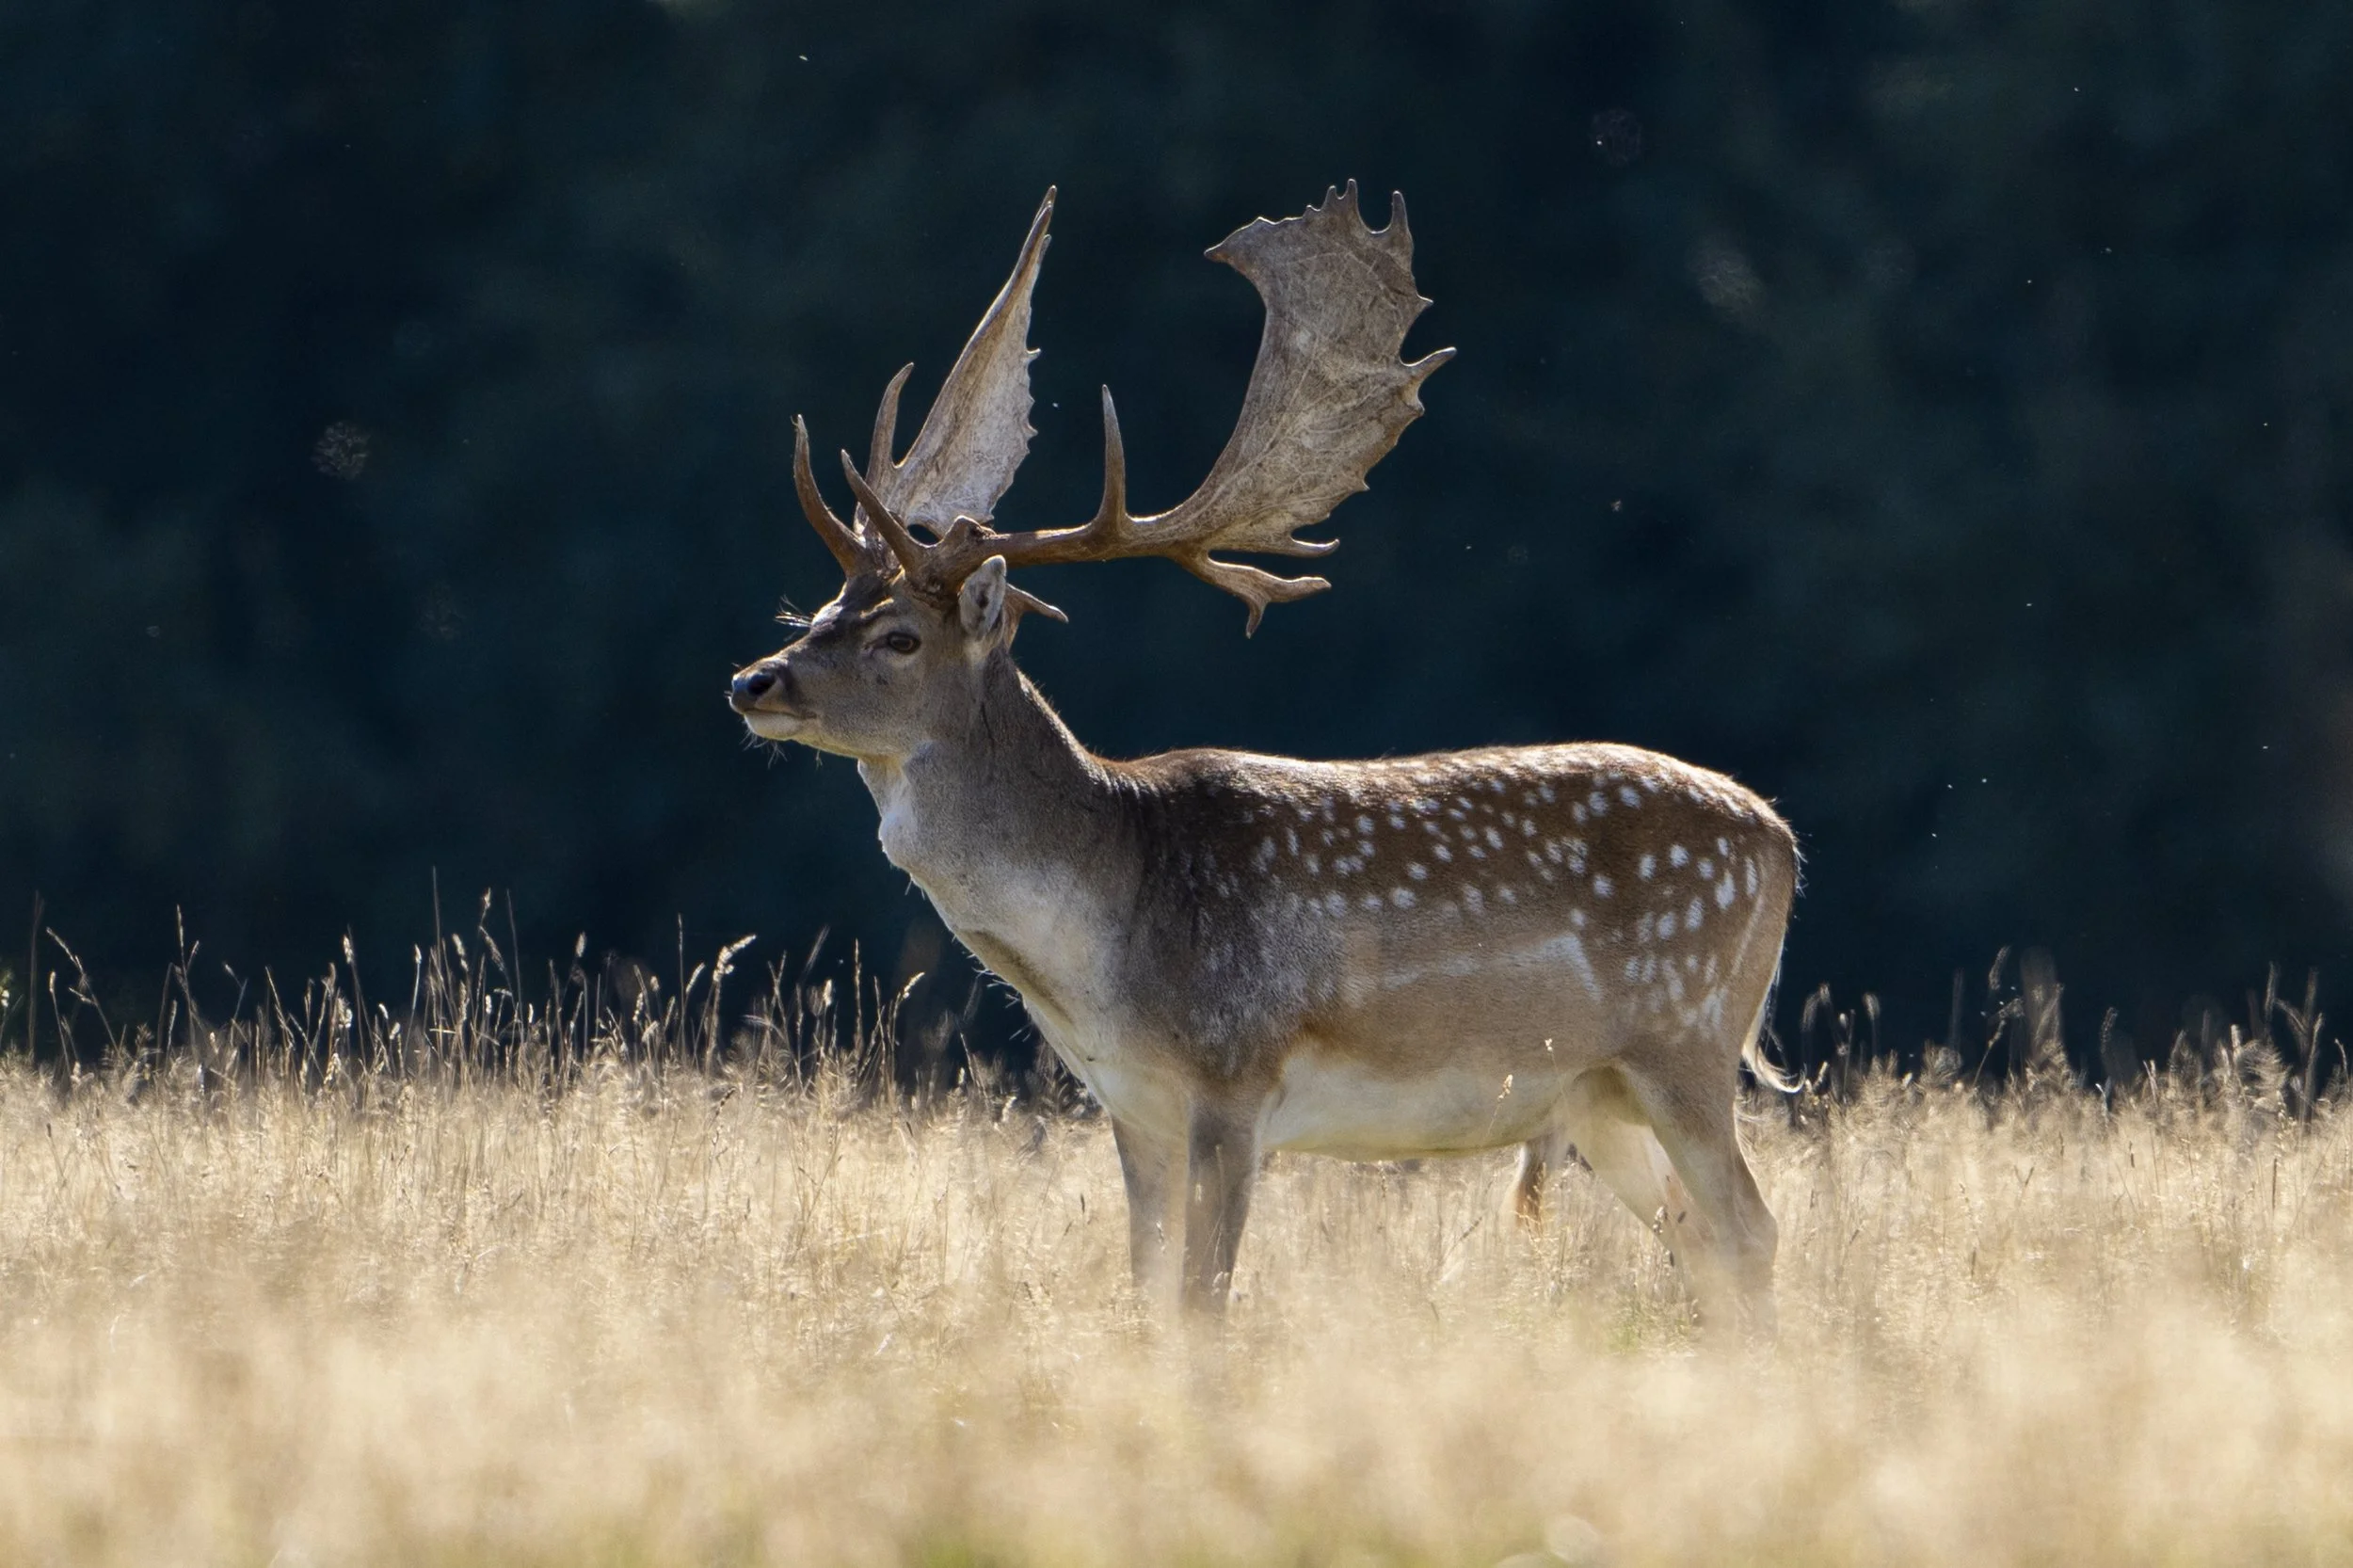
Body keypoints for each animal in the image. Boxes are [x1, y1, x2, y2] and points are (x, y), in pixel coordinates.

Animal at [729, 184, 1798, 1333]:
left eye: (899, 638)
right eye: (816, 609)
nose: (753, 681)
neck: (1103, 940)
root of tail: (1782, 841)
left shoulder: (1234, 1078)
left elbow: (1205, 1302)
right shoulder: (1132, 1107)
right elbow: (1149, 1292)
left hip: (1685, 1038)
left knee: (1751, 1228)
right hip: (1597, 1095)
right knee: (1701, 1241)